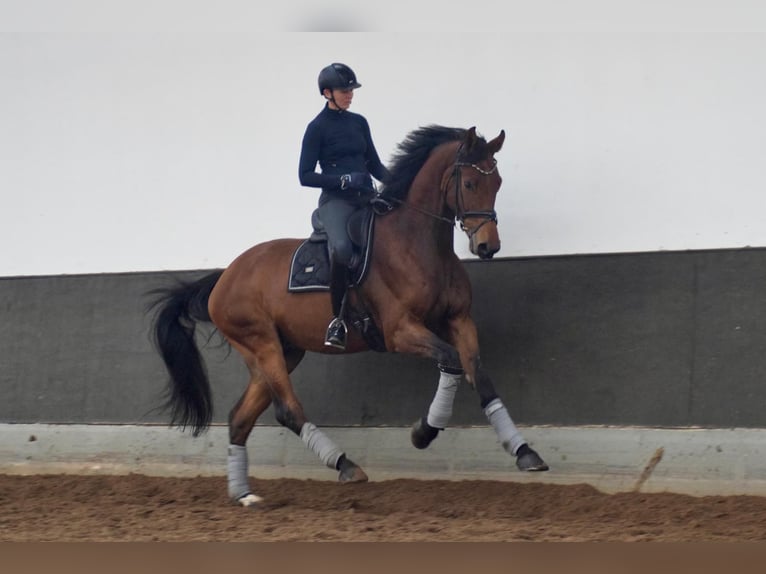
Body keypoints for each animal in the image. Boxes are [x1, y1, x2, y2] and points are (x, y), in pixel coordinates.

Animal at [148, 126, 544, 508]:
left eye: (498, 183)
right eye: (470, 183)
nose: (488, 246)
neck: (419, 243)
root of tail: (224, 277)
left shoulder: (459, 320)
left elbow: (480, 376)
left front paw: (525, 452)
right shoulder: (399, 331)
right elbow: (451, 361)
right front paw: (423, 432)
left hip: (282, 352)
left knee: (240, 419)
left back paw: (244, 495)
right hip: (261, 343)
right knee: (287, 410)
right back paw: (345, 465)